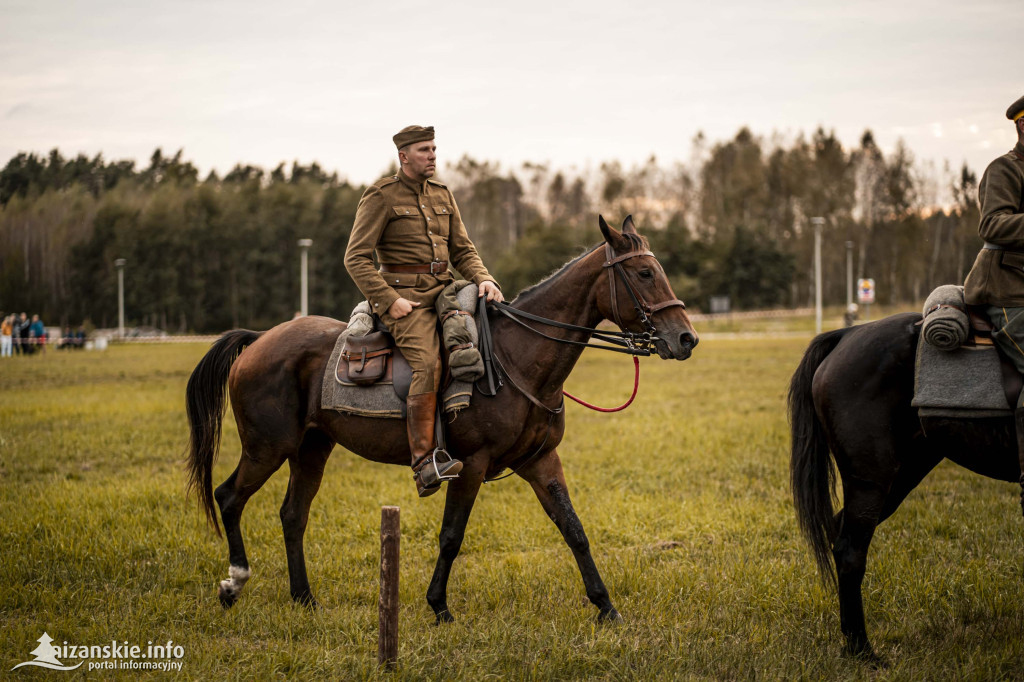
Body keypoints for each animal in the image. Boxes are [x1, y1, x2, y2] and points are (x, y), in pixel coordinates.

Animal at [186, 216, 696, 622]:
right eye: (645, 272)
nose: (686, 338)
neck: (515, 357)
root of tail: (258, 340)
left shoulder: (541, 461)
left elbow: (574, 530)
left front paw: (606, 607)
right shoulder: (470, 464)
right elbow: (452, 535)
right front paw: (439, 606)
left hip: (312, 448)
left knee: (293, 515)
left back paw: (304, 598)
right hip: (267, 448)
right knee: (229, 497)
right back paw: (233, 582)